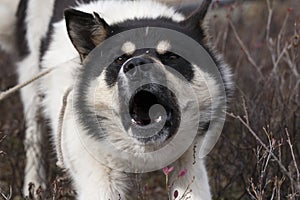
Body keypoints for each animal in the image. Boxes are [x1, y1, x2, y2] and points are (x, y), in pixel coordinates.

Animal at [0, 0, 233, 198]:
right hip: (31, 82)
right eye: (120, 58)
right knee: (34, 136)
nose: (137, 64)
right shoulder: (100, 176)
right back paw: (34, 186)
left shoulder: (189, 163)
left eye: (171, 56)